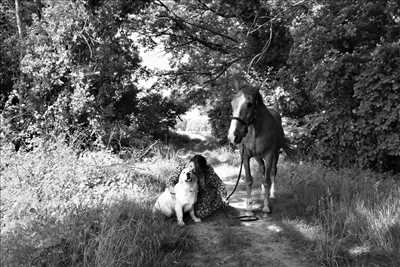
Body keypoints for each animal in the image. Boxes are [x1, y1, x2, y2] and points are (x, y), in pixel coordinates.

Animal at [228, 84, 294, 216]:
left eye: (249, 104)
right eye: (232, 103)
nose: (233, 136)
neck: (254, 131)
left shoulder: (269, 155)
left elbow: (267, 180)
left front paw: (266, 207)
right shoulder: (245, 156)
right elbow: (249, 180)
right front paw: (249, 209)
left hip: (275, 155)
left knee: (272, 172)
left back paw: (271, 194)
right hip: (258, 157)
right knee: (262, 169)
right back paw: (264, 192)